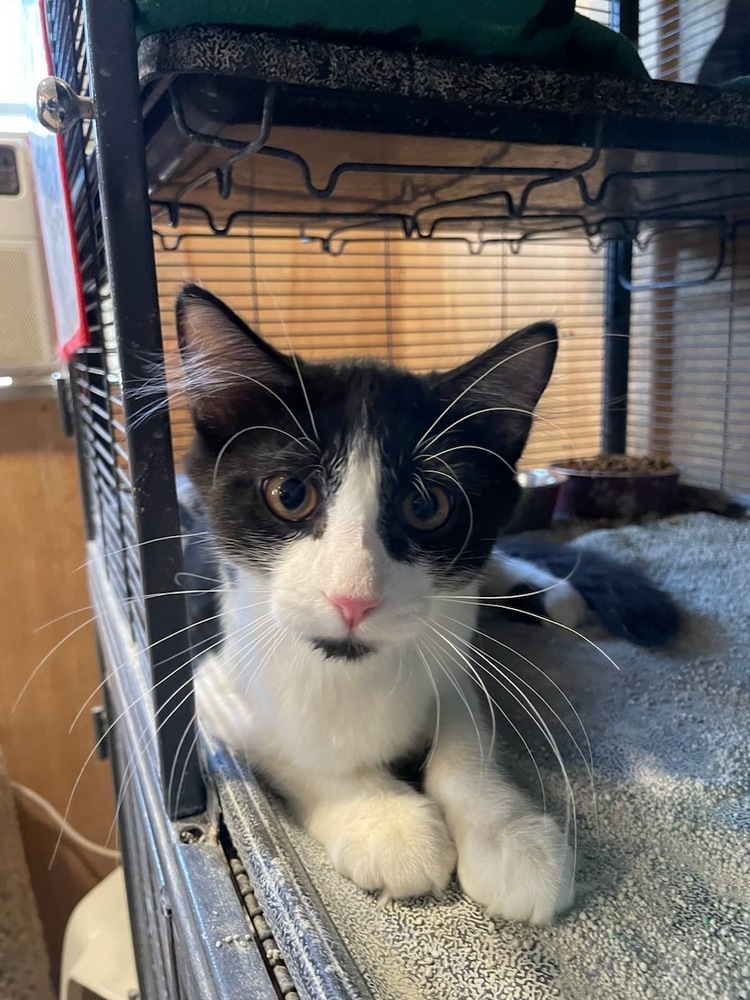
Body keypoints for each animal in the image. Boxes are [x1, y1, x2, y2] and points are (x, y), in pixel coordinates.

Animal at [178, 286, 680, 924]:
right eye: (289, 494)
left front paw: (510, 837)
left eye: (426, 506)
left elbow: (464, 738)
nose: (353, 597)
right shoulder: (207, 675)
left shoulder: (453, 652)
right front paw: (384, 821)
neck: (350, 672)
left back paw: (552, 594)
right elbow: (288, 747)